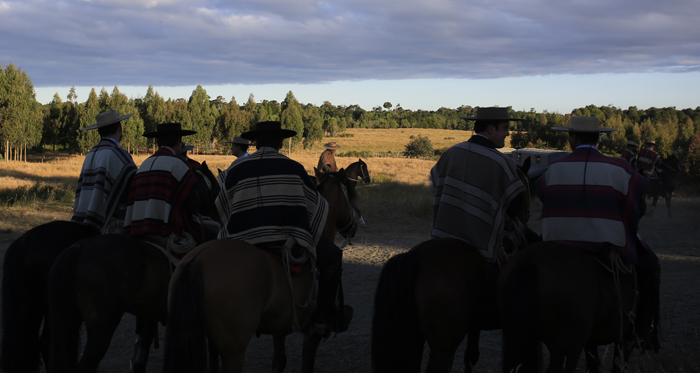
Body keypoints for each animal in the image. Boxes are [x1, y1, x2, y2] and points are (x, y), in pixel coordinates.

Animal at [160, 169, 356, 372]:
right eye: (350, 195)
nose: (353, 226)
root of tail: (196, 261)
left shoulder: (281, 325)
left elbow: (279, 361)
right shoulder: (312, 334)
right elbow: (306, 364)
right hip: (234, 351)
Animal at [372, 158, 532, 370]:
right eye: (527, 187)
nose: (528, 215)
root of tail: (415, 257)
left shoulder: (475, 325)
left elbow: (471, 356)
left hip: (414, 339)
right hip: (443, 348)